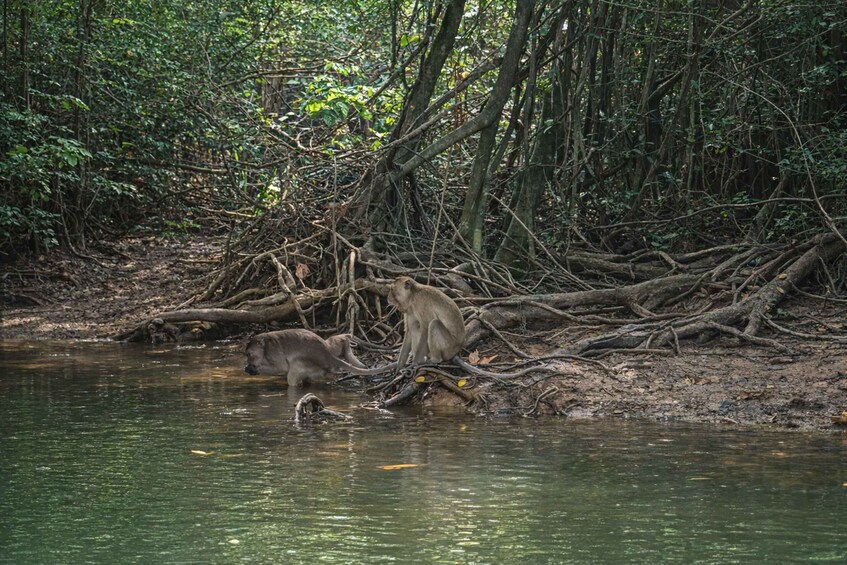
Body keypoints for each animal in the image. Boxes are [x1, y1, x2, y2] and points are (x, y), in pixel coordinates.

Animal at [244, 329, 392, 387]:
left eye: (249, 355)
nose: (248, 362)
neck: (265, 346)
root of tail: (326, 354)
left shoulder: (273, 352)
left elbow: (279, 366)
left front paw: (253, 369)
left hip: (310, 364)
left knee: (293, 374)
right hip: (329, 348)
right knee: (334, 342)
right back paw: (347, 342)